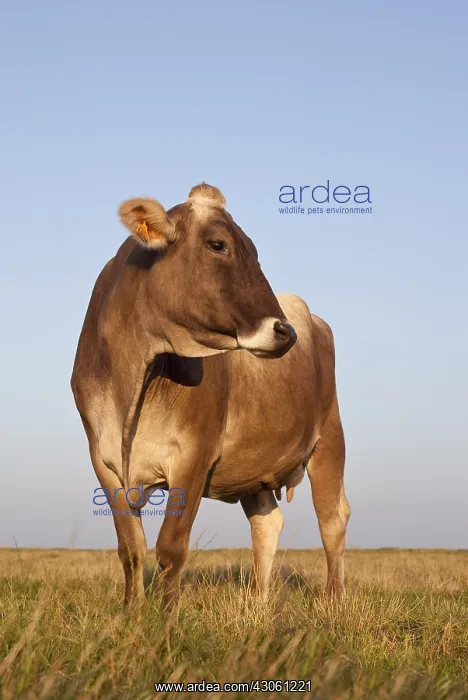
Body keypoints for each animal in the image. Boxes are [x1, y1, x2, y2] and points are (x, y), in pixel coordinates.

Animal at [71, 183, 351, 612]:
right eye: (218, 244)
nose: (285, 331)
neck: (132, 385)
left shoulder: (194, 454)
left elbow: (171, 548)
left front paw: (166, 621)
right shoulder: (103, 460)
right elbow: (130, 548)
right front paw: (131, 615)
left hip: (330, 438)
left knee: (332, 521)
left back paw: (334, 604)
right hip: (256, 466)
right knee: (267, 523)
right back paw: (257, 605)